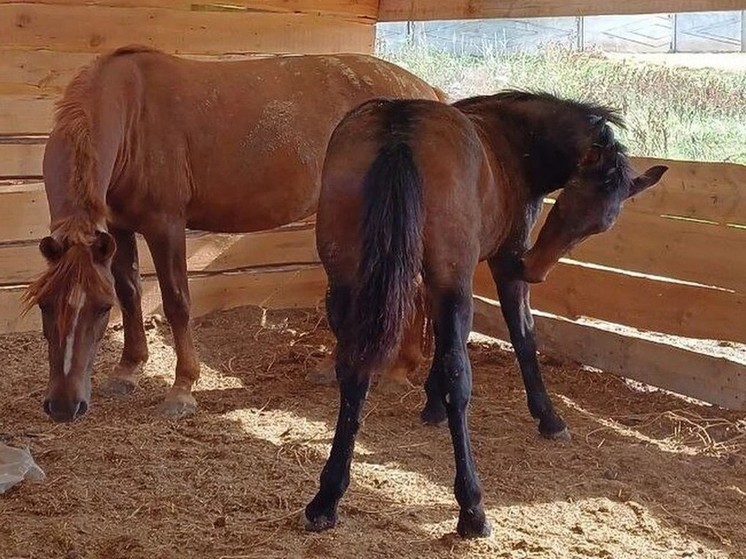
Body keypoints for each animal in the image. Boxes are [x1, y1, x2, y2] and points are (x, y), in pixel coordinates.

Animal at [23, 47, 442, 424]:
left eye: (98, 308)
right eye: (45, 304)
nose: (64, 406)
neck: (132, 115)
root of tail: (427, 91)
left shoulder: (165, 225)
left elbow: (177, 303)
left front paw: (182, 389)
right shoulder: (118, 228)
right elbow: (130, 293)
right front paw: (127, 371)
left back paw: (398, 372)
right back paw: (349, 368)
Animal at [306, 93, 664, 540]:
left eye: (598, 225)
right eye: (567, 203)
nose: (534, 269)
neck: (510, 137)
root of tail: (400, 126)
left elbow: (442, 340)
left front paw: (431, 405)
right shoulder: (499, 264)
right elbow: (522, 337)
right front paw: (548, 418)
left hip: (347, 283)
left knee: (353, 371)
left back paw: (327, 498)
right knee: (460, 376)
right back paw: (472, 508)